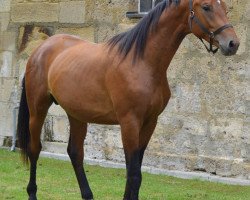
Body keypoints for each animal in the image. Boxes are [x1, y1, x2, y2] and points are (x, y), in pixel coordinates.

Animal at [16, 0, 239, 200]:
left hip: (77, 114)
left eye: (225, 7)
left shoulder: (149, 123)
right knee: (35, 149)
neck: (141, 62)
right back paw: (32, 193)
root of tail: (40, 50)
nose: (233, 43)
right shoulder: (129, 123)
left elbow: (135, 172)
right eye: (207, 7)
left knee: (75, 152)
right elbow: (133, 174)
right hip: (38, 110)